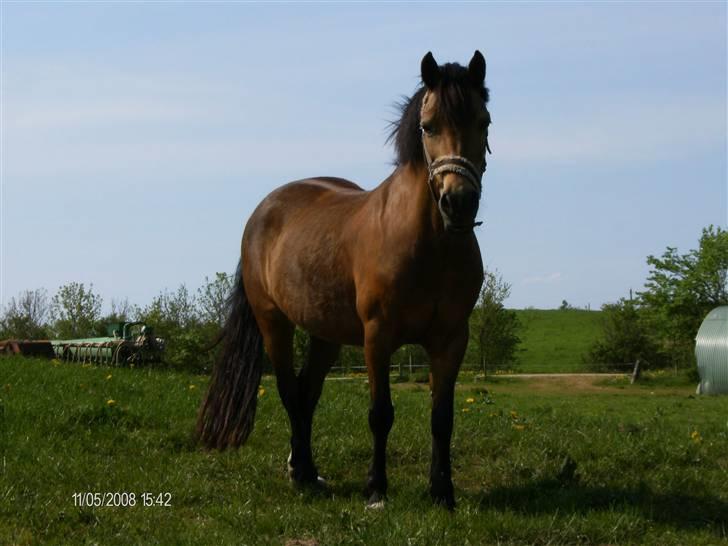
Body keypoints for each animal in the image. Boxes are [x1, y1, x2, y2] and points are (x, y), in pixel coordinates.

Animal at [196, 49, 492, 508]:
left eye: (484, 122)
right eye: (428, 126)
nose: (458, 202)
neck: (427, 244)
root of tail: (263, 210)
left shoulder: (451, 338)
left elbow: (442, 418)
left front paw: (442, 492)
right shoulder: (377, 336)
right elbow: (380, 414)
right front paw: (376, 489)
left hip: (326, 335)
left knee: (307, 394)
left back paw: (305, 469)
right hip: (273, 323)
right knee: (289, 392)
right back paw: (302, 472)